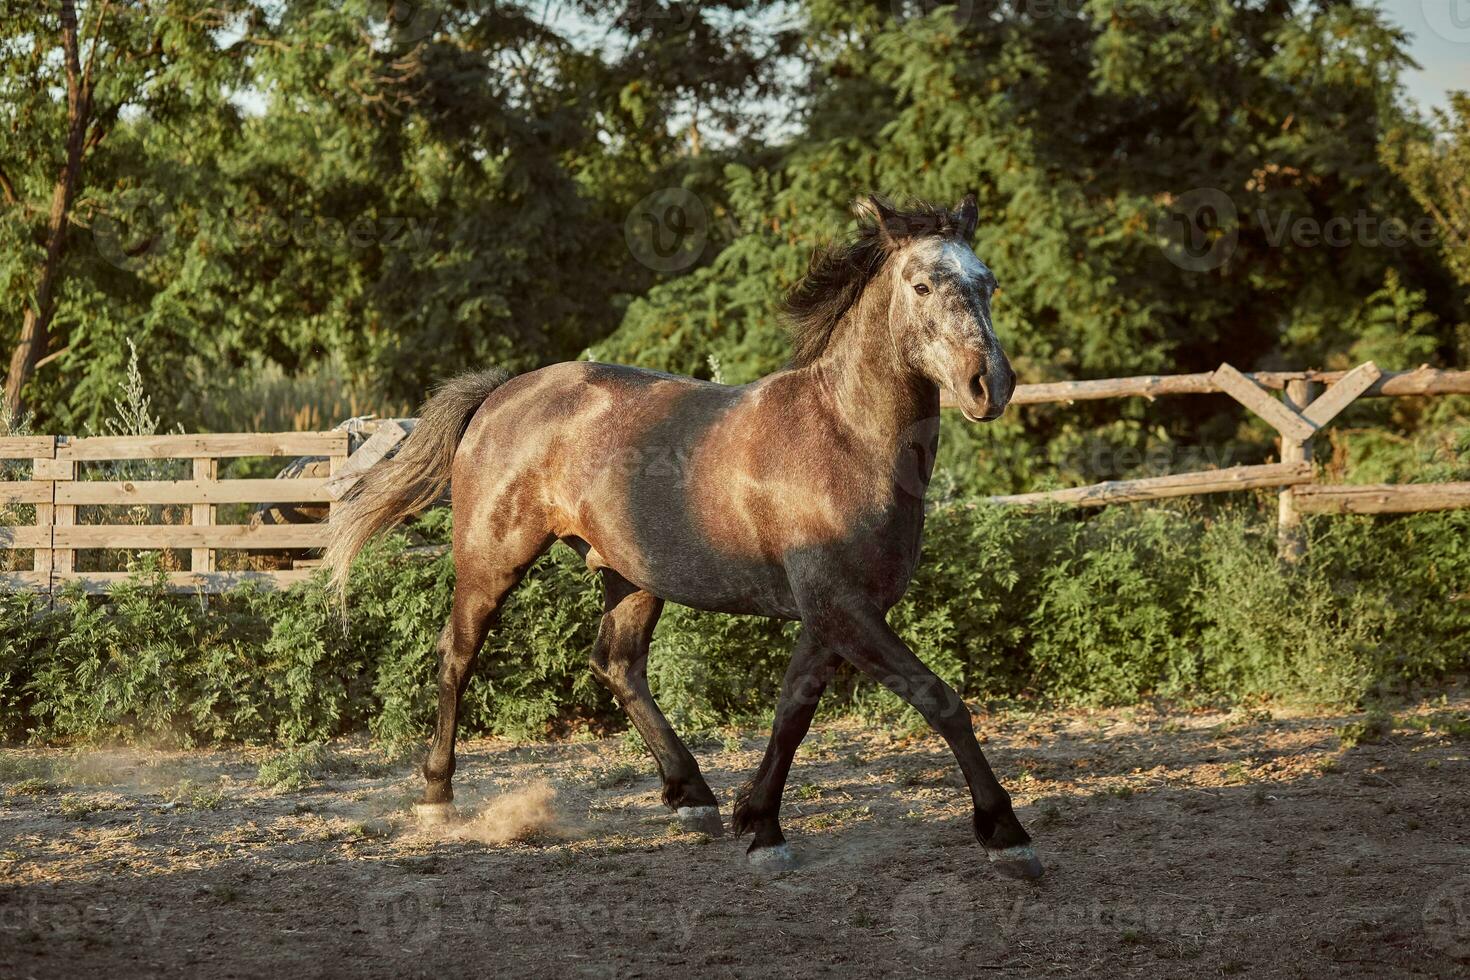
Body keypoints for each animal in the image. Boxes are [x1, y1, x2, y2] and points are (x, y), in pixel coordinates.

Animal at [326, 193, 1040, 881]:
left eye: (989, 283)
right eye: (921, 285)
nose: (991, 384)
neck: (845, 438)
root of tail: (503, 392)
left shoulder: (833, 616)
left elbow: (791, 714)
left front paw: (759, 825)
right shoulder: (842, 609)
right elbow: (940, 701)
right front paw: (1005, 834)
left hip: (631, 575)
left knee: (616, 663)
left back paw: (691, 795)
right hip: (491, 560)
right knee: (457, 655)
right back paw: (437, 799)